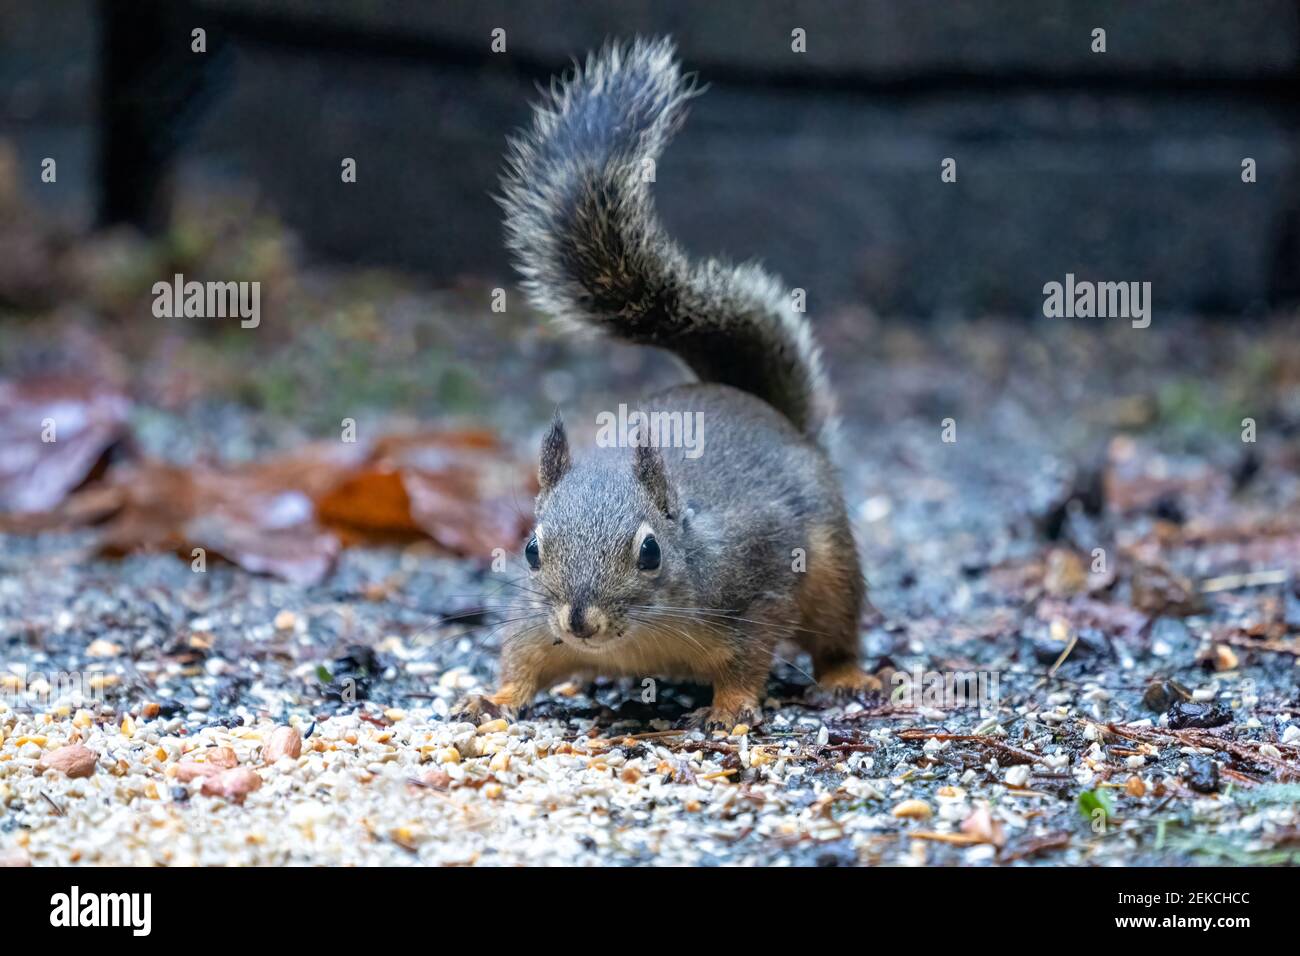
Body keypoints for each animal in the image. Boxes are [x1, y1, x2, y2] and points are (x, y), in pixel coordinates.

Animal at [454, 38, 875, 731]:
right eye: (531, 550)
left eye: (650, 552)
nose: (580, 620)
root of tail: (768, 412)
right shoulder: (534, 623)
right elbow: (521, 658)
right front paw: (494, 697)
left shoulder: (754, 588)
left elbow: (747, 660)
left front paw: (729, 710)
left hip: (835, 569)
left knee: (836, 633)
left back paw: (846, 676)